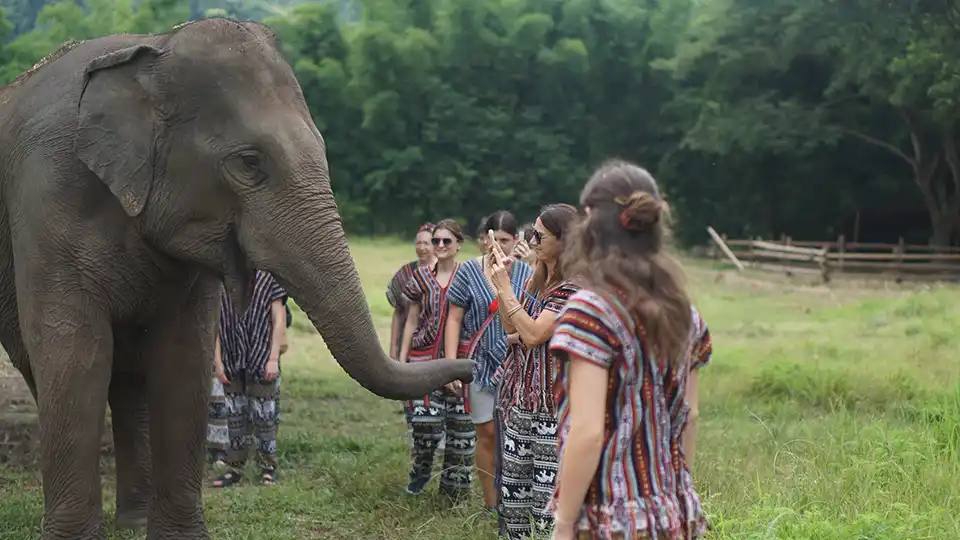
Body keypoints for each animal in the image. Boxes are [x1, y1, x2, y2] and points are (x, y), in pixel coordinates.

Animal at [0, 17, 473, 540]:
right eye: (250, 162)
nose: (468, 372)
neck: (154, 50)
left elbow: (184, 356)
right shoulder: (47, 197)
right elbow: (74, 354)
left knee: (129, 376)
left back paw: (134, 520)